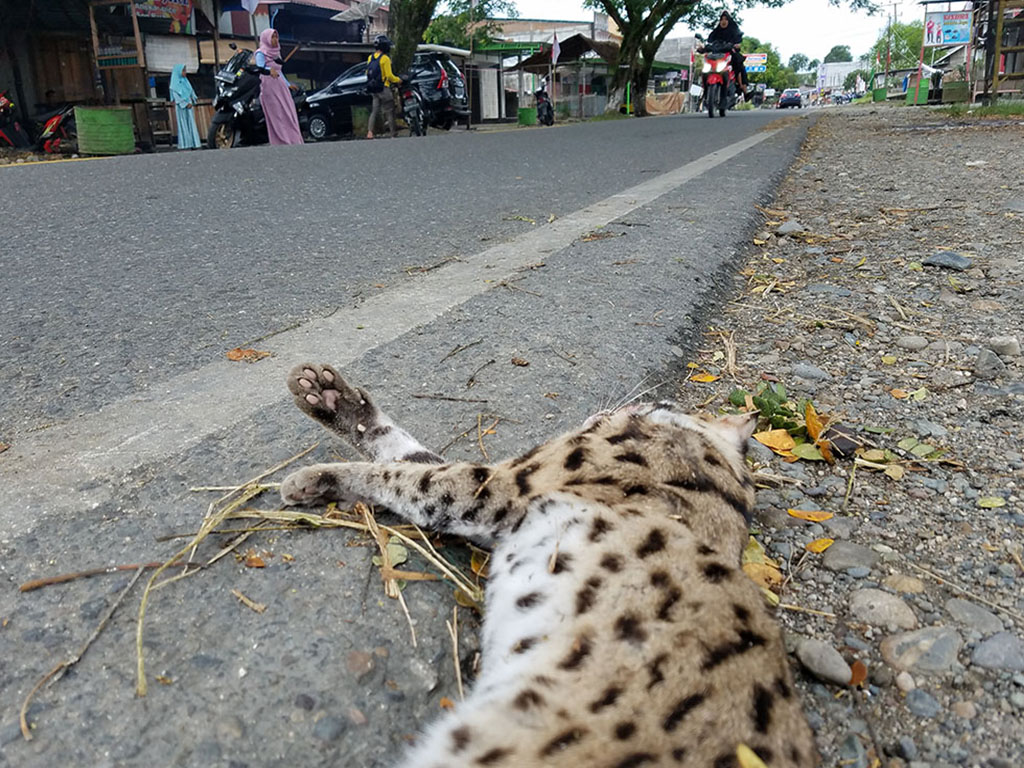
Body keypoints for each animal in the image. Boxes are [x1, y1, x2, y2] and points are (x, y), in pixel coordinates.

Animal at [278, 364, 815, 765]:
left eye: (653, 405)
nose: (611, 407)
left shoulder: (497, 488)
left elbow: (407, 474)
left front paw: (318, 476)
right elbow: (407, 453)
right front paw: (334, 400)